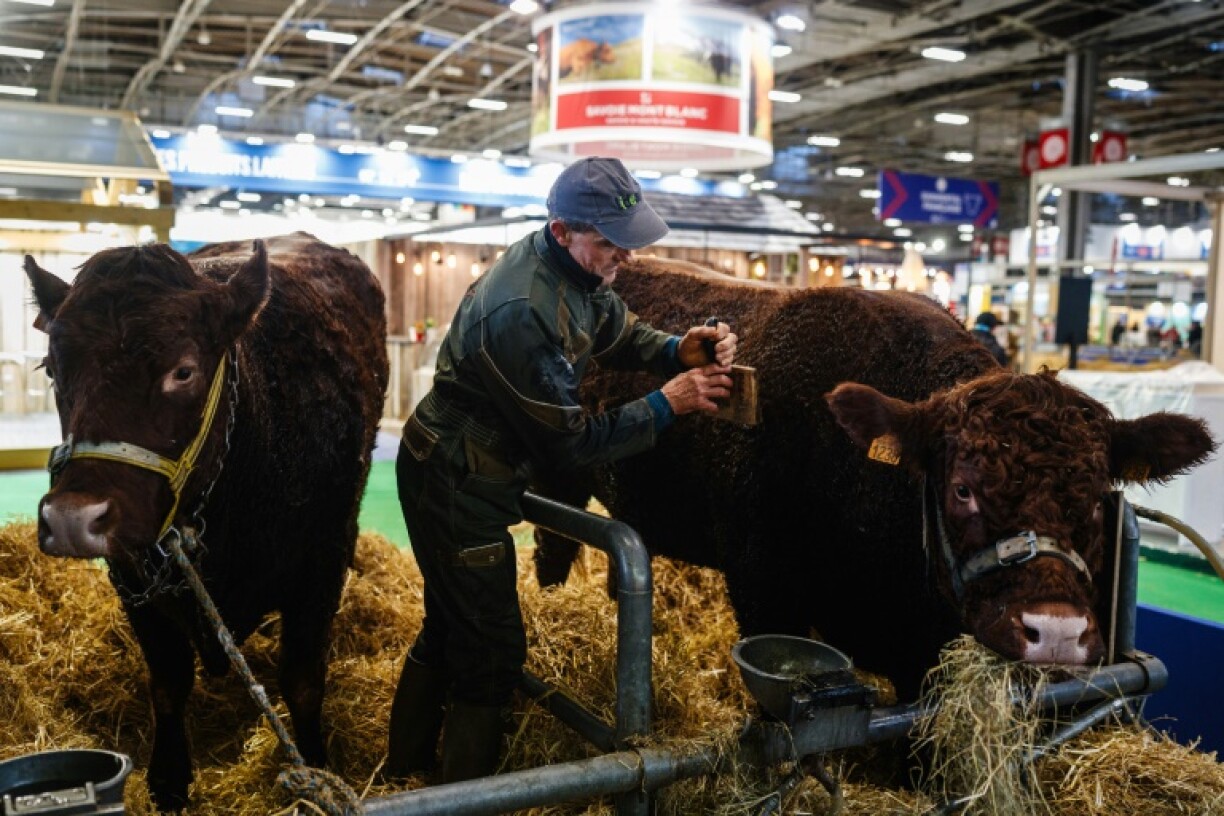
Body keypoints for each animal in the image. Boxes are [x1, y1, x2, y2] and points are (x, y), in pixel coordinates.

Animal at [23, 232, 388, 810]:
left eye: (184, 370)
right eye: (55, 370)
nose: (73, 518)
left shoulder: (322, 564)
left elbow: (303, 680)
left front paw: (317, 769)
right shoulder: (132, 576)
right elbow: (168, 682)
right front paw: (169, 783)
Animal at [532, 258, 1216, 700]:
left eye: (1100, 497)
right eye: (961, 488)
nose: (1054, 633)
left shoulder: (924, 649)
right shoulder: (763, 588)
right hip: (558, 483)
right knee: (552, 552)